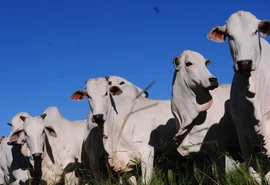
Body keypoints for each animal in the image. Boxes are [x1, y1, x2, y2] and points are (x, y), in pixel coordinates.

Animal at [172, 49, 244, 184]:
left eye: (205, 63)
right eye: (188, 63)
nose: (213, 80)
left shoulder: (218, 149)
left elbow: (221, 177)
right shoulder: (197, 154)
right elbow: (206, 179)